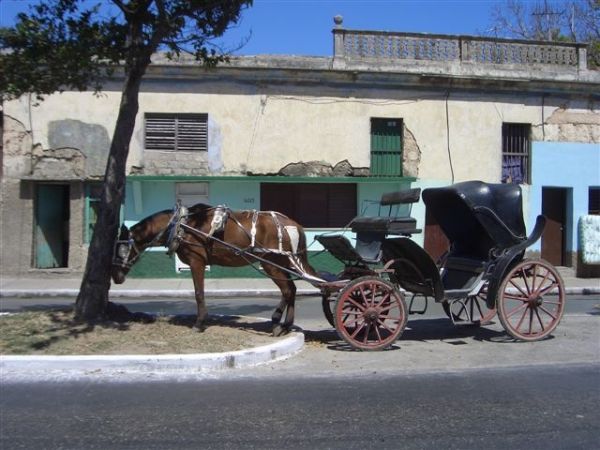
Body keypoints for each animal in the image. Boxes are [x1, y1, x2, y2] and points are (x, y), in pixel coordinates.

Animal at [109, 203, 322, 334]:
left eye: (121, 248)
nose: (115, 276)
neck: (183, 226)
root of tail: (292, 224)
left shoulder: (197, 262)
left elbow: (199, 293)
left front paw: (199, 323)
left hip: (271, 264)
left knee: (287, 290)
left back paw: (281, 323)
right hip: (282, 263)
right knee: (291, 289)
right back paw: (283, 323)